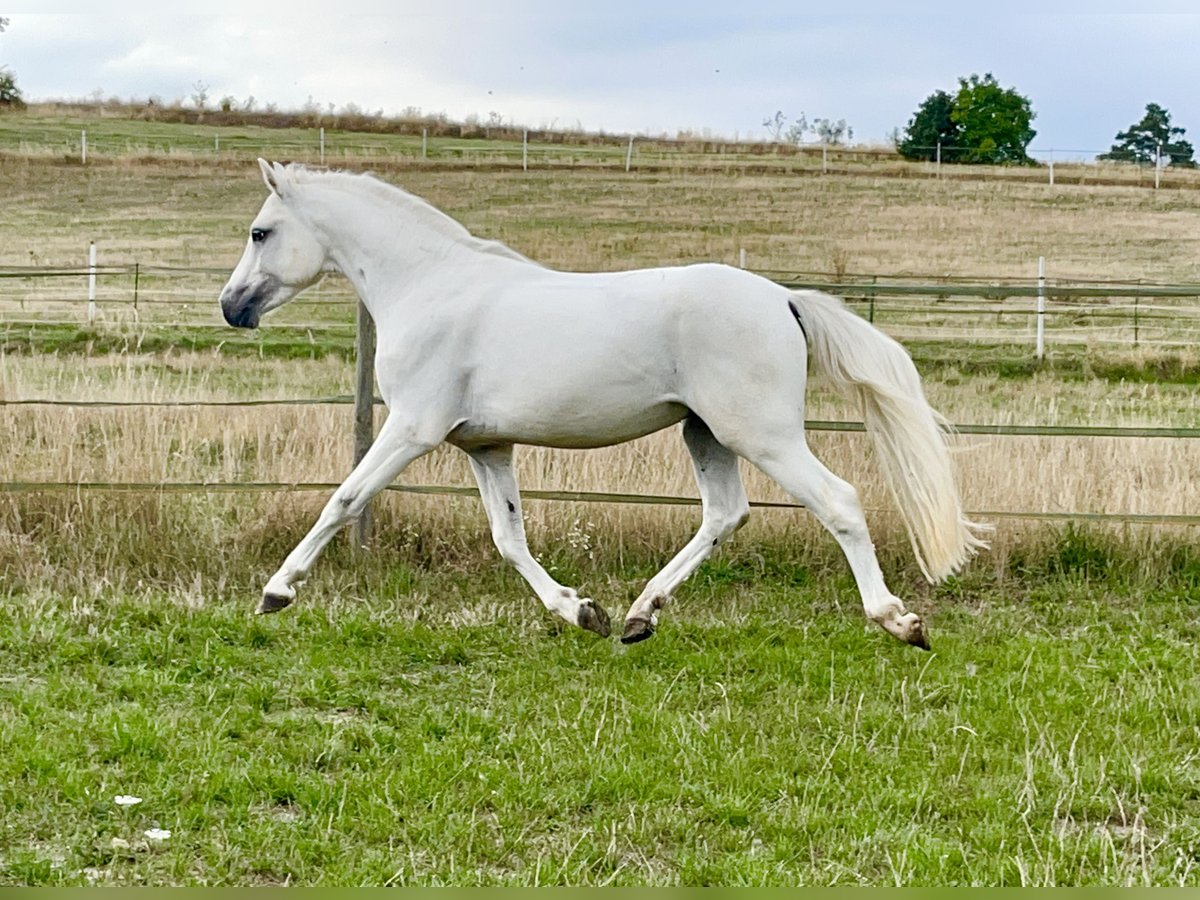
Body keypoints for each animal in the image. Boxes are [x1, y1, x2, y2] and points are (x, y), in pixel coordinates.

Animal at [220, 162, 988, 652]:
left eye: (260, 232)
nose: (231, 308)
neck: (429, 285)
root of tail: (783, 299)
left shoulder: (413, 429)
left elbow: (343, 499)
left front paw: (276, 593)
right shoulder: (485, 446)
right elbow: (509, 538)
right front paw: (581, 610)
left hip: (761, 434)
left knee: (839, 502)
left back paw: (900, 622)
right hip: (706, 435)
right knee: (725, 515)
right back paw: (639, 617)